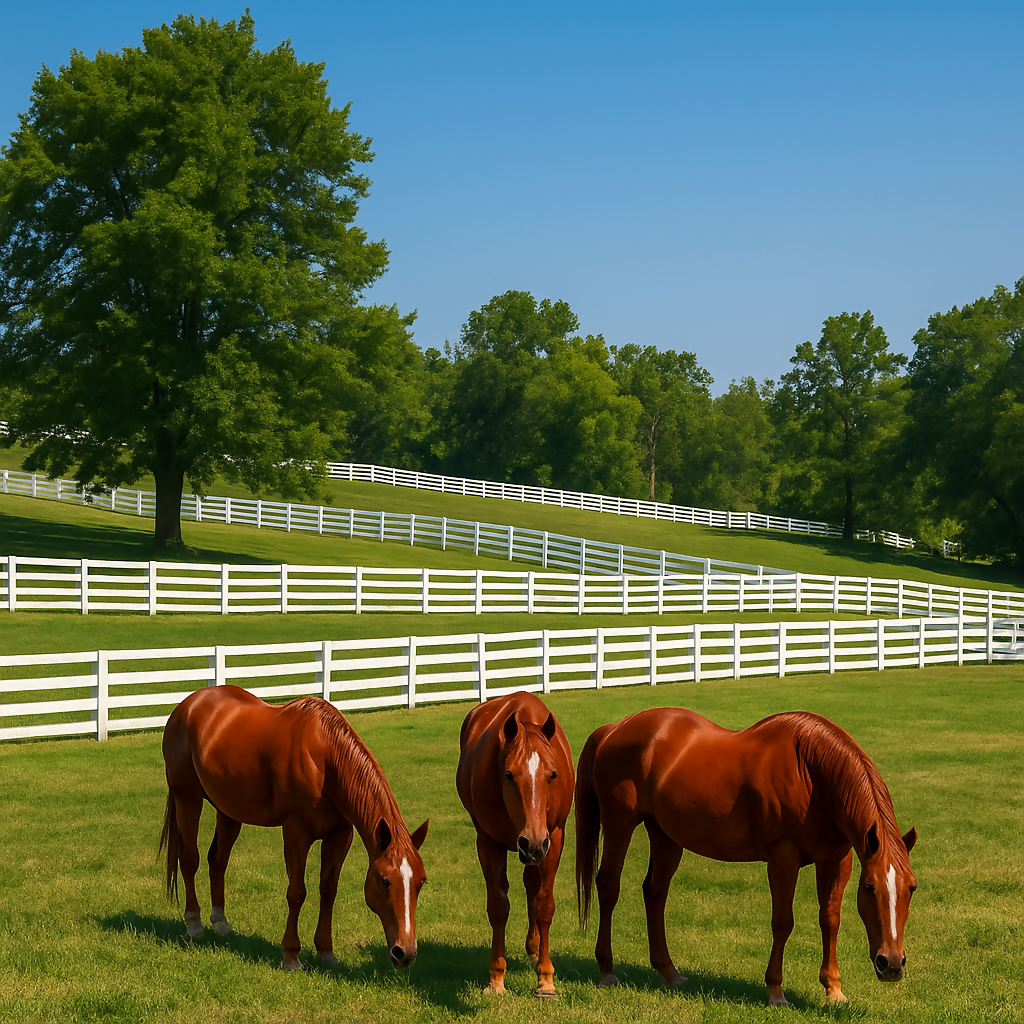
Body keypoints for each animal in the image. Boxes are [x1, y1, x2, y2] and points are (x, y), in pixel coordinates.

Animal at [160, 685, 429, 970]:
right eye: (384, 881)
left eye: (421, 881)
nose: (405, 953)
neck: (324, 759)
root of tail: (188, 704)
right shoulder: (296, 833)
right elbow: (297, 893)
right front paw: (291, 954)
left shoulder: (340, 835)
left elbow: (328, 891)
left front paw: (325, 951)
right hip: (187, 798)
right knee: (190, 858)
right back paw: (194, 924)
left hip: (229, 810)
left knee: (218, 860)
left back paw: (220, 922)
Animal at [456, 691, 575, 998]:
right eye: (509, 775)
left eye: (552, 774)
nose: (531, 841)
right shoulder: (488, 841)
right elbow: (499, 906)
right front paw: (496, 977)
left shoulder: (553, 838)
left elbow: (544, 905)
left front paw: (545, 978)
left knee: (532, 885)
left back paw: (534, 948)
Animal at [575, 708, 918, 1005]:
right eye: (870, 887)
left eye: (912, 887)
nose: (891, 964)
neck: (811, 773)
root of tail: (615, 728)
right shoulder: (783, 858)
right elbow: (782, 922)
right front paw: (775, 991)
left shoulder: (836, 860)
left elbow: (830, 919)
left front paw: (833, 989)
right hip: (619, 825)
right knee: (608, 887)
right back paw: (606, 971)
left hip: (665, 835)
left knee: (655, 892)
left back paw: (669, 972)